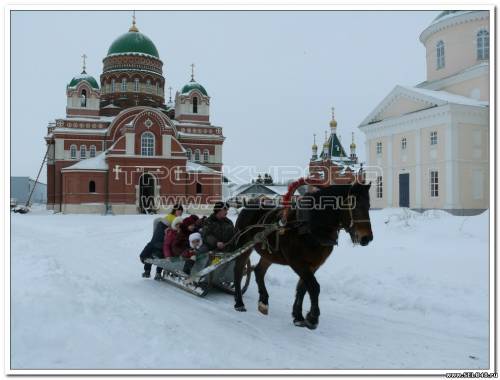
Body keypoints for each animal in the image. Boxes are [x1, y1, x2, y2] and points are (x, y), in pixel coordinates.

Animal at [232, 180, 374, 328]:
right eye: (354, 205)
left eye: (368, 206)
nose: (367, 238)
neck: (309, 227)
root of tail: (247, 207)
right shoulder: (297, 262)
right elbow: (314, 287)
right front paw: (312, 317)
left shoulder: (314, 264)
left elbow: (303, 288)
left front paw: (298, 316)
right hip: (243, 246)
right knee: (238, 270)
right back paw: (239, 303)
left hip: (270, 254)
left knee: (259, 271)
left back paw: (263, 302)